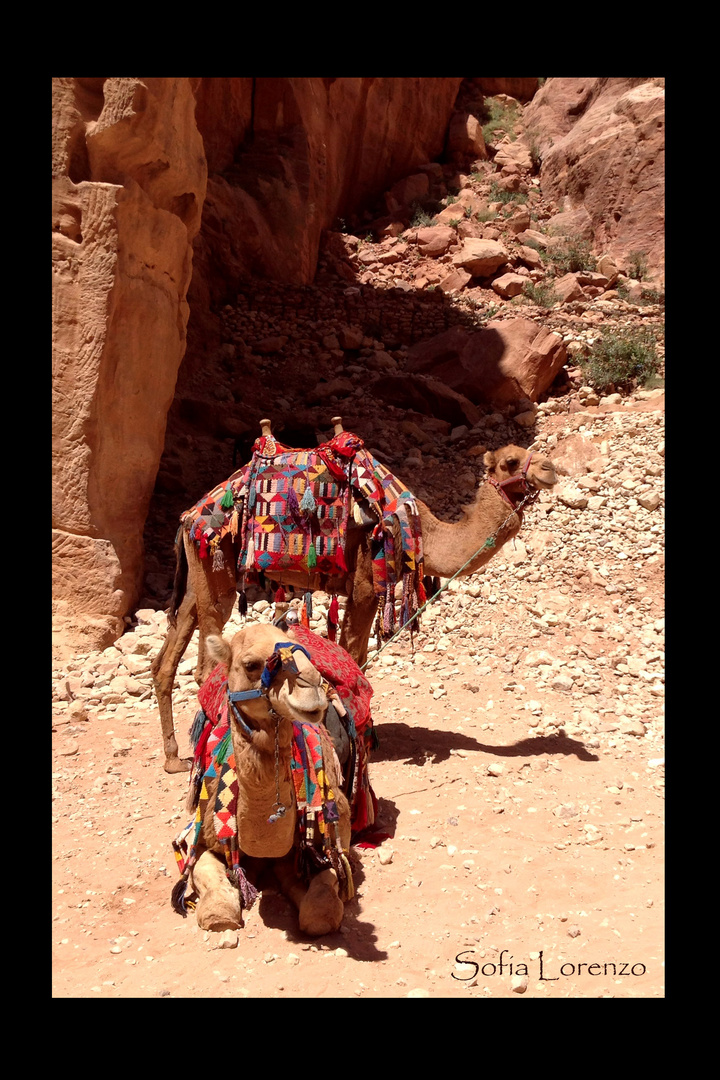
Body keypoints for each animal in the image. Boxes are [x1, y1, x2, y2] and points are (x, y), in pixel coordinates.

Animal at [151, 419, 557, 768]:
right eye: (510, 461)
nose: (550, 468)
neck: (422, 530)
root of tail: (189, 518)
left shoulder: (369, 591)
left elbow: (356, 655)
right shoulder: (364, 581)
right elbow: (352, 655)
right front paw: (355, 736)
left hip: (198, 576)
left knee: (167, 655)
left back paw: (173, 756)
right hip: (216, 562)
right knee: (206, 664)